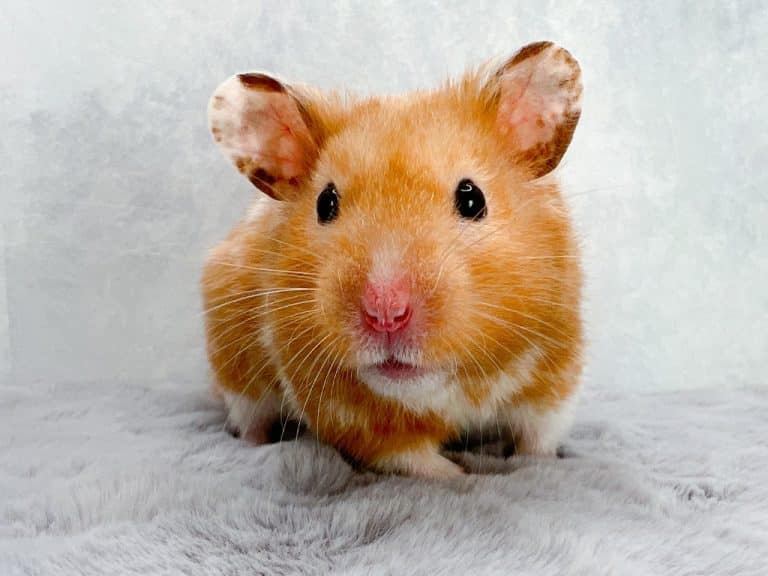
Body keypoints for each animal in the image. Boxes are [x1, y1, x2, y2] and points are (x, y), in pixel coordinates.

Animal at [203, 41, 583, 478]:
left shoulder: (556, 366)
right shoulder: (346, 415)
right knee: (250, 416)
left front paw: (533, 463)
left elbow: (540, 436)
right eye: (325, 203)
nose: (385, 312)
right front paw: (462, 473)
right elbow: (413, 458)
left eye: (472, 199)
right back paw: (252, 442)